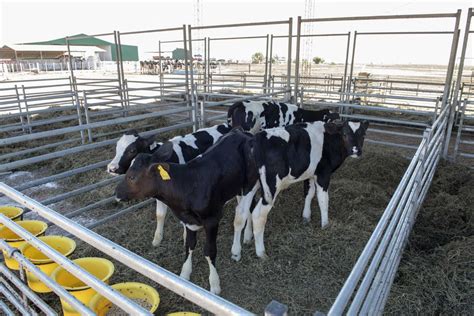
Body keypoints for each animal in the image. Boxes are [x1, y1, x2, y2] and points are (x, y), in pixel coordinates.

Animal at [116, 128, 262, 294]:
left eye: (132, 177)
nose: (116, 193)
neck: (188, 184)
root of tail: (242, 132)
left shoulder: (212, 220)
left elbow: (209, 251)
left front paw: (214, 284)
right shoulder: (188, 221)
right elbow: (189, 245)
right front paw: (185, 275)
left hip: (250, 184)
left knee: (244, 213)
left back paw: (238, 248)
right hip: (236, 187)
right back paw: (247, 236)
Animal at [239, 119, 368, 258]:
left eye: (363, 135)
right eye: (344, 134)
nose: (356, 151)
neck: (328, 141)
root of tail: (255, 139)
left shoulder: (310, 174)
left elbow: (308, 193)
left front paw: (306, 217)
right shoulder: (323, 174)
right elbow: (323, 199)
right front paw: (325, 225)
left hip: (251, 185)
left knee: (245, 210)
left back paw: (246, 240)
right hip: (270, 188)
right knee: (258, 215)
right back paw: (261, 253)